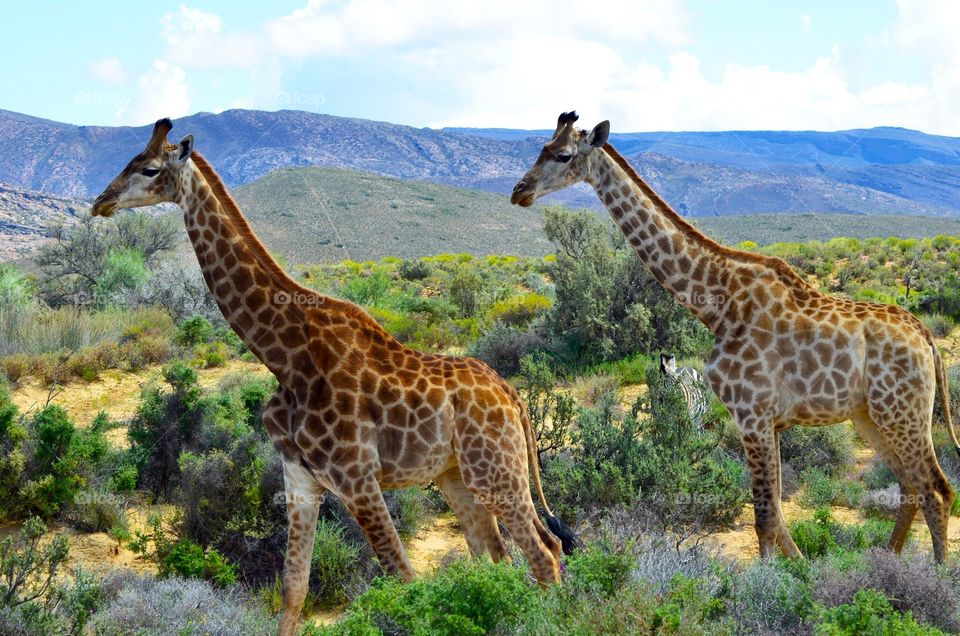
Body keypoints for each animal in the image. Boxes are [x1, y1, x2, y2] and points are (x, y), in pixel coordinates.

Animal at [92, 118, 576, 632]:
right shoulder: (300, 479)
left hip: (496, 472)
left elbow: (404, 578)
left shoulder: (357, 478)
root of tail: (513, 397)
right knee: (498, 555)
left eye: (149, 168)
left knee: (544, 553)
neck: (285, 357)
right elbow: (294, 588)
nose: (100, 201)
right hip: (456, 475)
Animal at [510, 110, 960, 560]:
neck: (715, 305)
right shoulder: (769, 422)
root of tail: (926, 338)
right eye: (542, 147)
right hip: (870, 416)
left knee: (936, 489)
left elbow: (764, 519)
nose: (519, 191)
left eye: (564, 155)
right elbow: (775, 515)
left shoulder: (751, 414)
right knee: (910, 487)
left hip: (903, 412)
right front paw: (800, 567)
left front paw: (774, 575)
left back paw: (933, 573)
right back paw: (887, 559)